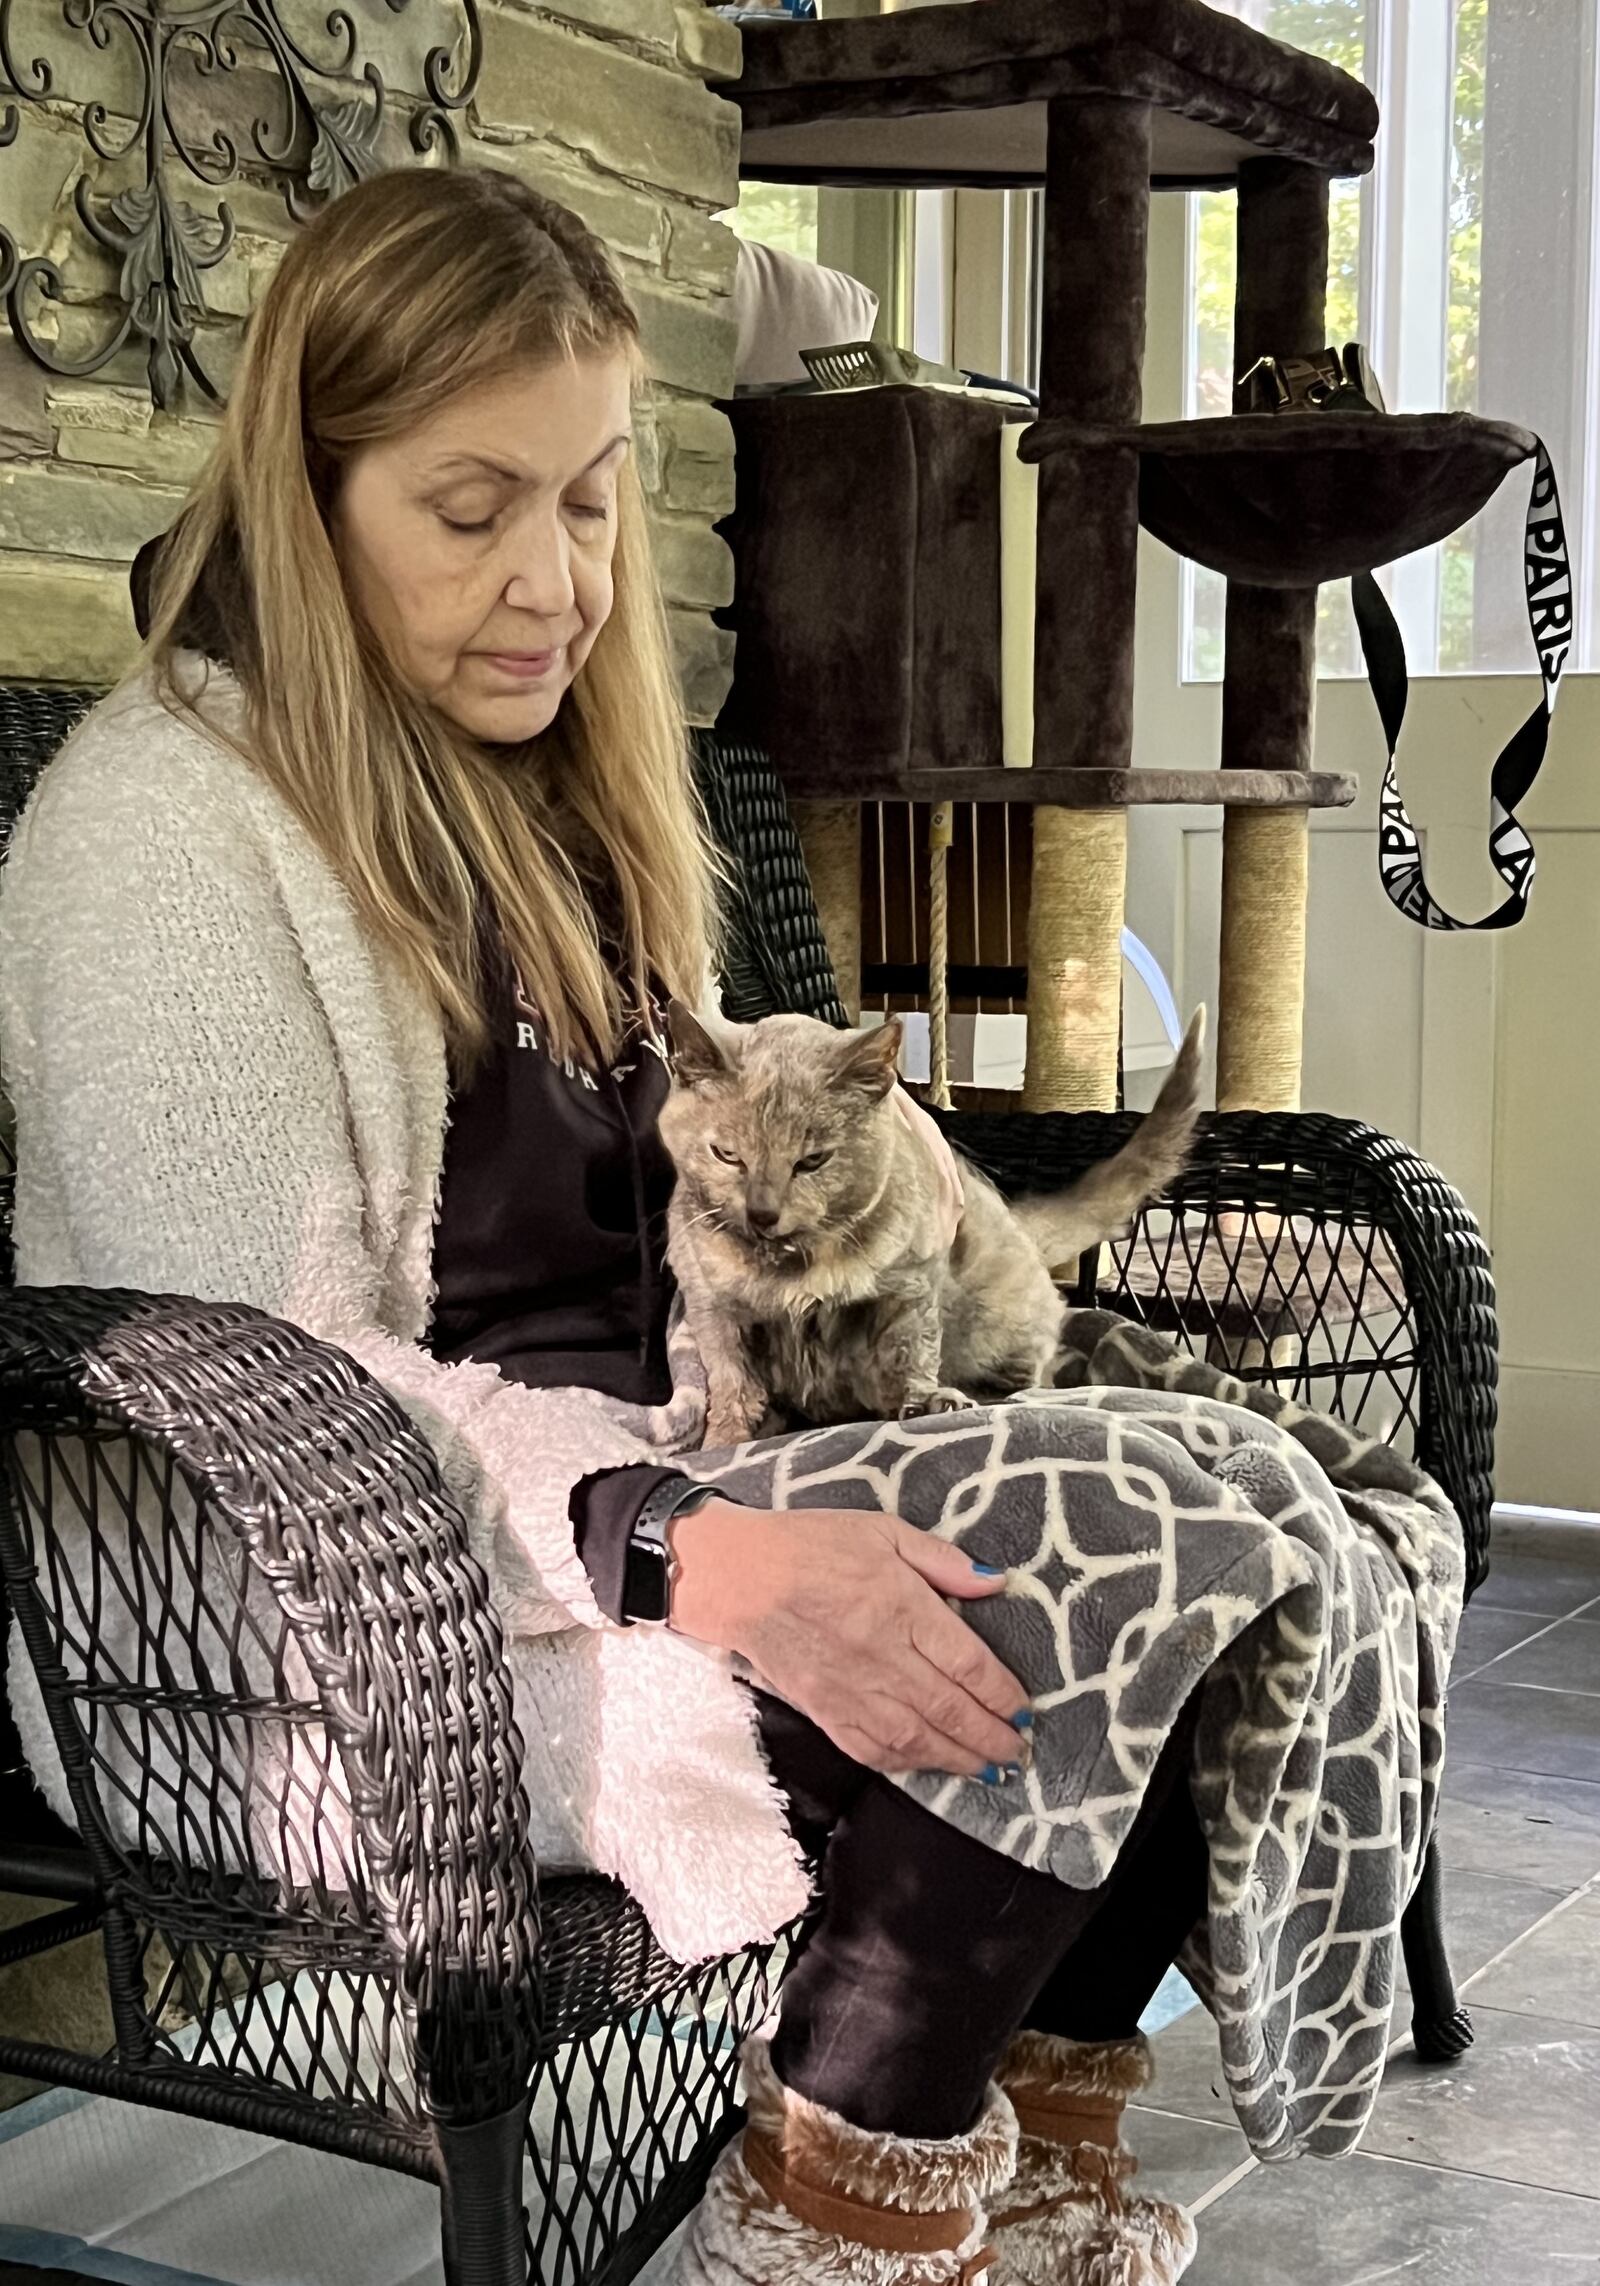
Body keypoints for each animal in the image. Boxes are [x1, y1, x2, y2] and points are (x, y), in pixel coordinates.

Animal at [658, 1005, 1206, 1444]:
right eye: (727, 1154)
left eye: (812, 1161)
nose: (762, 1212)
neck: (792, 1268)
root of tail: (1017, 1222)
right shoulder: (712, 1306)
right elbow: (731, 1381)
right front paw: (725, 1440)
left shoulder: (911, 1283)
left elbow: (909, 1350)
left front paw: (925, 1401)